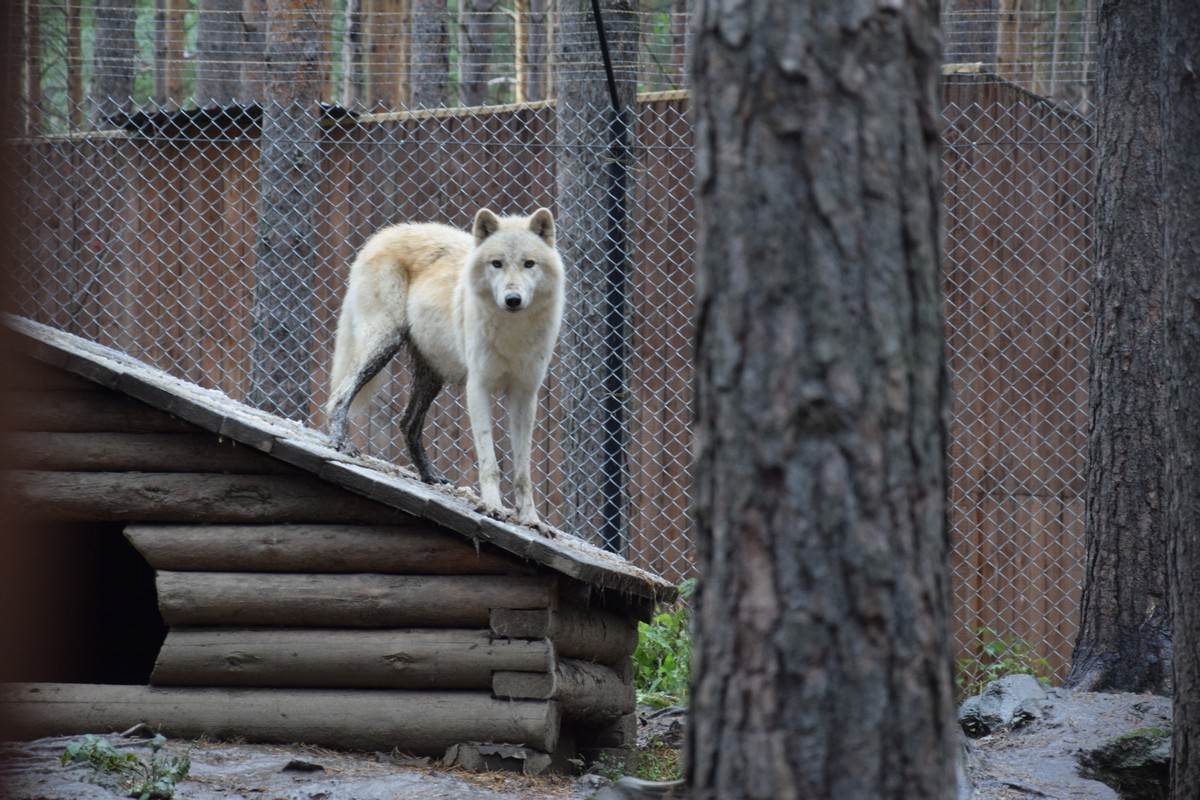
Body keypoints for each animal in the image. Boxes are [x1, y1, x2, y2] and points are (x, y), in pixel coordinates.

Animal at [326, 209, 564, 527]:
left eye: (529, 264)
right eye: (497, 263)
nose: (512, 299)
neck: (512, 332)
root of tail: (383, 234)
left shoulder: (525, 395)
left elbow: (523, 471)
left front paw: (531, 520)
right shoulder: (478, 388)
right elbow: (489, 462)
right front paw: (493, 508)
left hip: (431, 376)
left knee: (407, 423)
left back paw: (430, 476)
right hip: (384, 342)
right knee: (338, 396)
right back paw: (342, 443)